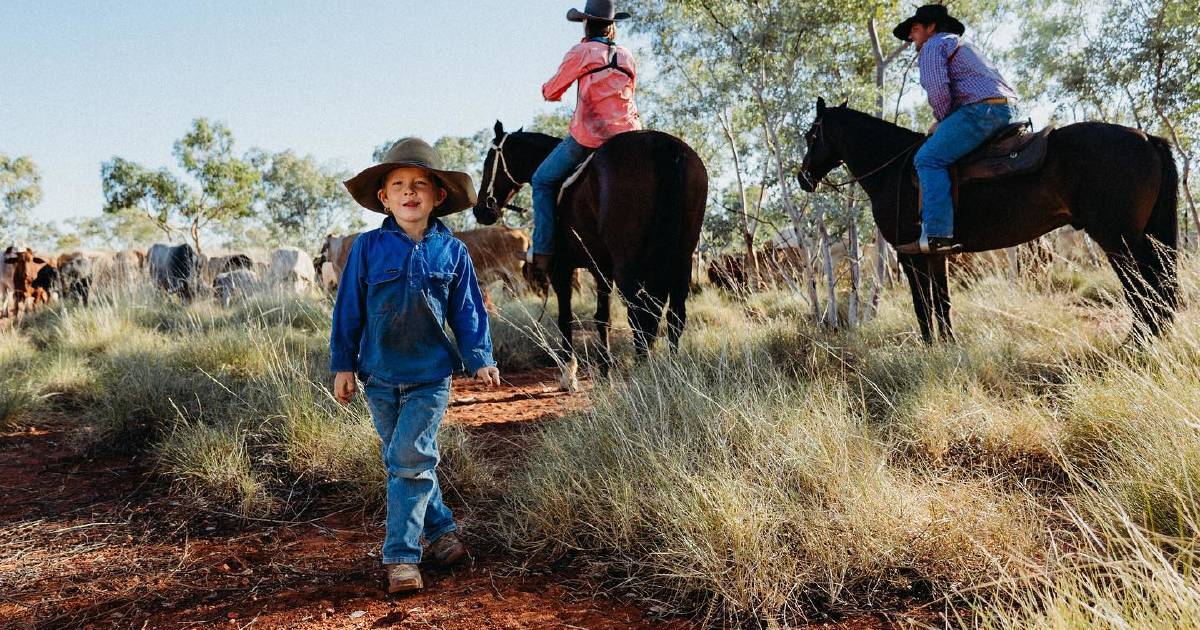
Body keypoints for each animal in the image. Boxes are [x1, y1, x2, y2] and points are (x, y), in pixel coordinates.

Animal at [472, 121, 705, 388]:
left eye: (488, 161)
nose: (481, 210)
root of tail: (663, 146)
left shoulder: (561, 268)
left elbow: (565, 317)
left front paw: (568, 373)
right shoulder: (601, 269)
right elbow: (602, 317)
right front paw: (604, 371)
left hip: (629, 266)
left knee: (640, 315)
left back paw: (643, 372)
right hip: (680, 260)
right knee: (674, 315)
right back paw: (670, 370)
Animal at [801, 99, 1176, 343]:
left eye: (811, 136)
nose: (803, 178)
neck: (892, 168)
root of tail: (1148, 139)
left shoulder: (910, 255)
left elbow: (923, 306)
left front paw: (928, 348)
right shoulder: (935, 254)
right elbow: (942, 303)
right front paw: (947, 348)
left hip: (1118, 239)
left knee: (1143, 289)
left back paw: (1138, 342)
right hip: (1140, 237)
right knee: (1158, 285)